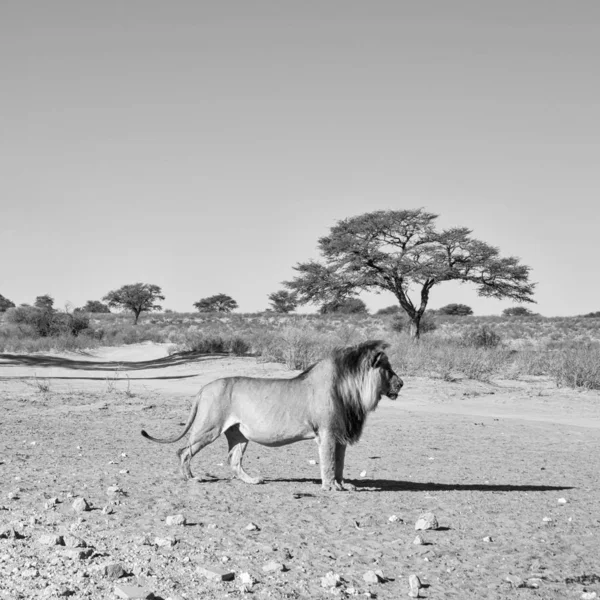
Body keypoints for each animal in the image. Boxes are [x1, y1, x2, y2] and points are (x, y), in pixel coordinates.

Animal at [141, 340, 404, 490]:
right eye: (388, 370)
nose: (401, 383)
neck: (351, 390)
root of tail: (204, 388)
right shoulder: (327, 433)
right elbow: (329, 462)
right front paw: (330, 487)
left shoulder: (340, 436)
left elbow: (339, 463)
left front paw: (342, 484)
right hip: (209, 427)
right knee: (183, 451)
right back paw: (192, 479)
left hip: (238, 433)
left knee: (233, 460)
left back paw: (252, 481)